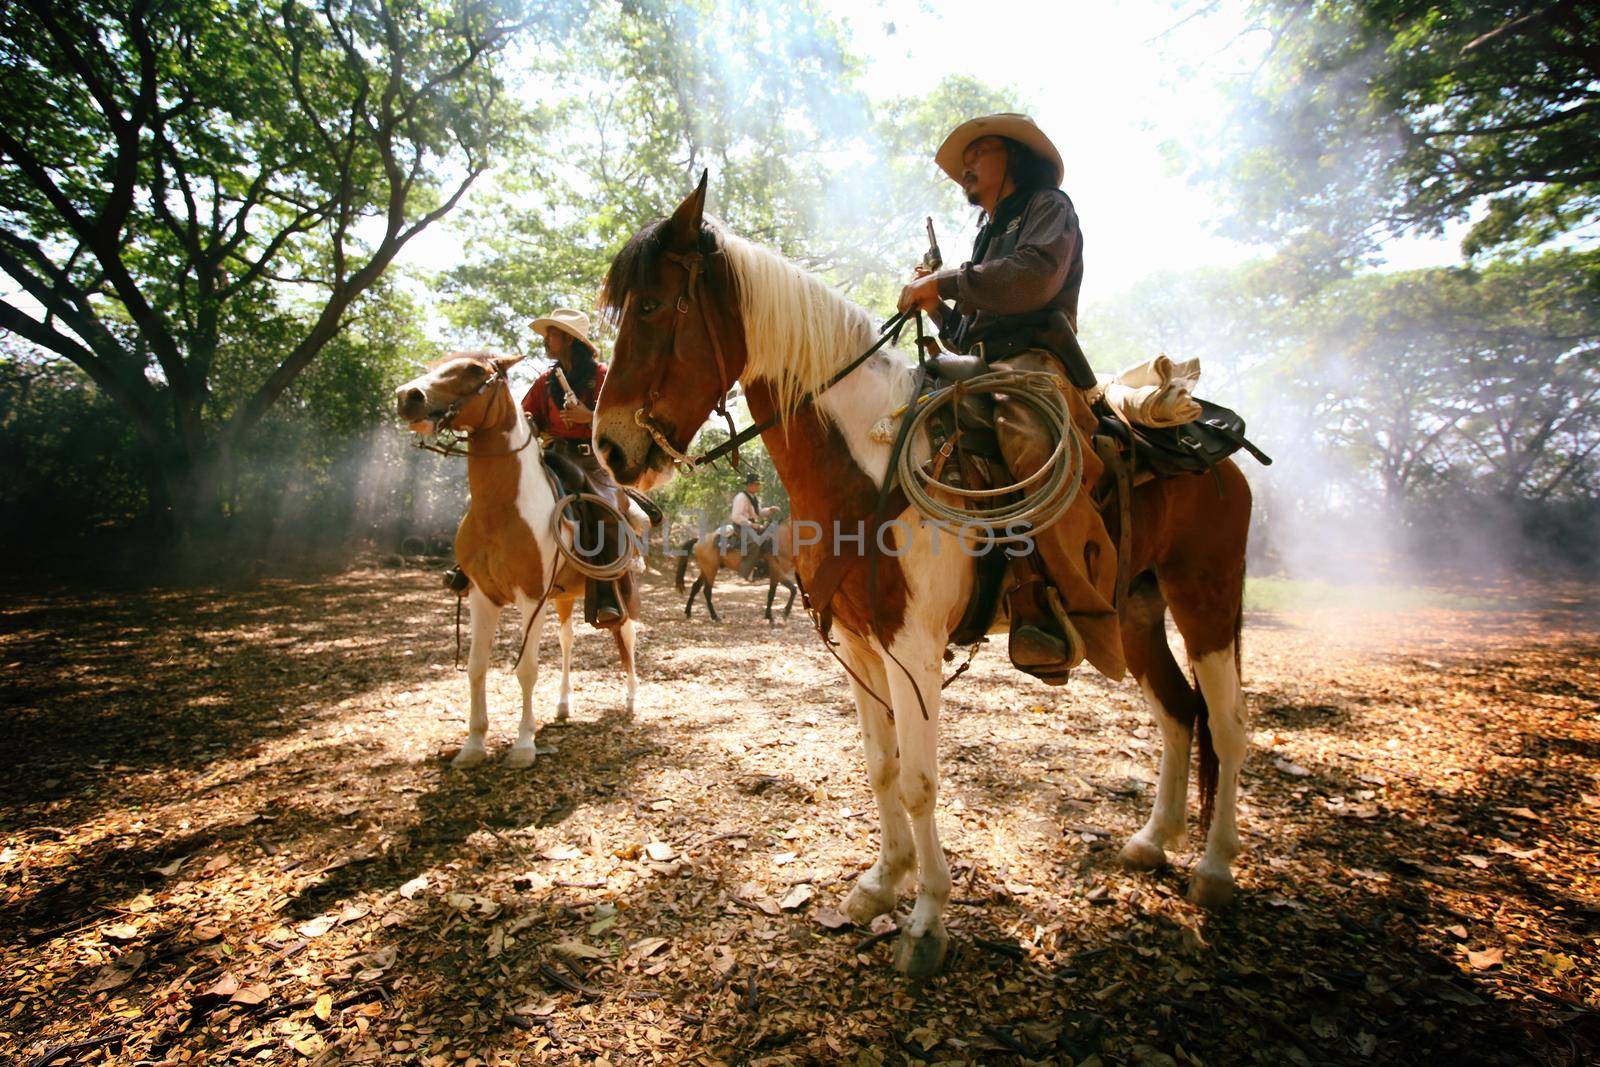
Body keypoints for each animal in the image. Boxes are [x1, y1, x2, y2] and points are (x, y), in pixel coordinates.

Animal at [395, 351, 643, 767]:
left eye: (475, 369)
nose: (407, 396)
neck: (501, 510)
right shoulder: (482, 596)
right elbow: (476, 668)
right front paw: (473, 745)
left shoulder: (530, 597)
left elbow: (527, 669)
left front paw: (524, 744)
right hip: (563, 596)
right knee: (567, 640)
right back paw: (563, 705)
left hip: (620, 588)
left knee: (626, 634)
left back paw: (632, 700)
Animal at [595, 175, 1254, 979]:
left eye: (654, 305)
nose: (609, 448)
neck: (867, 463)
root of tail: (1207, 444)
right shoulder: (857, 642)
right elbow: (882, 769)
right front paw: (882, 883)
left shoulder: (912, 647)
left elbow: (917, 778)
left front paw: (928, 918)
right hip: (1135, 611)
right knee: (1179, 713)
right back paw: (1153, 842)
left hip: (1205, 598)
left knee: (1227, 722)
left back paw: (1215, 869)